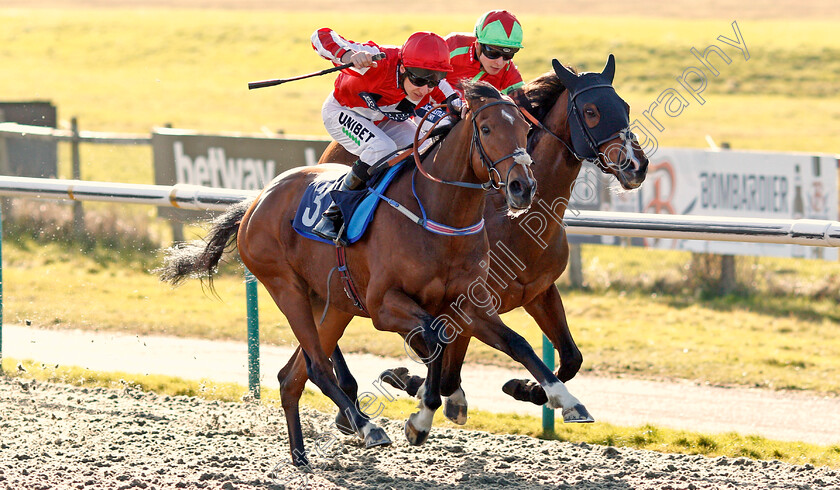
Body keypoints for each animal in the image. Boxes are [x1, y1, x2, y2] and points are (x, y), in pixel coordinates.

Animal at [158, 81, 592, 468]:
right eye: (486, 129)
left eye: (524, 129)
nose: (522, 187)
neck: (440, 213)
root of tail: (257, 199)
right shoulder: (384, 306)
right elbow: (433, 340)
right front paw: (420, 416)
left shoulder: (469, 302)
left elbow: (517, 343)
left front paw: (567, 400)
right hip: (286, 288)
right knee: (317, 367)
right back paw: (367, 428)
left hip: (334, 304)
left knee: (291, 375)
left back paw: (301, 456)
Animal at [310, 54, 648, 422]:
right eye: (591, 111)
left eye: (625, 106)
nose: (637, 165)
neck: (514, 217)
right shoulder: (469, 305)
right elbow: (448, 369)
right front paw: (417, 383)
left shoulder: (538, 292)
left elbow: (571, 357)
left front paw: (528, 389)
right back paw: (349, 394)